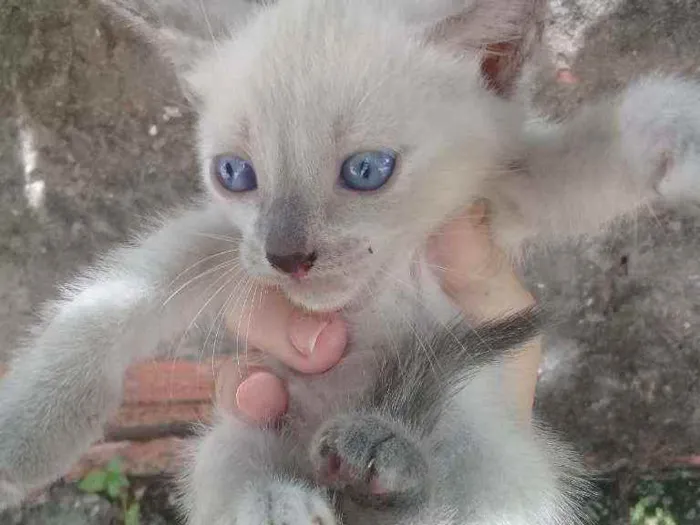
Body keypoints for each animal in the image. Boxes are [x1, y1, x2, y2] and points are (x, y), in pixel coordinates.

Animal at [0, 0, 696, 520]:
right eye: (235, 174)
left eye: (366, 170)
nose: (287, 257)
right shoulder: (225, 245)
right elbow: (117, 295)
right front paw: (27, 433)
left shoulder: (504, 193)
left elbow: (596, 149)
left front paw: (681, 134)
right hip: (237, 433)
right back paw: (296, 497)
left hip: (493, 450)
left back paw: (382, 454)